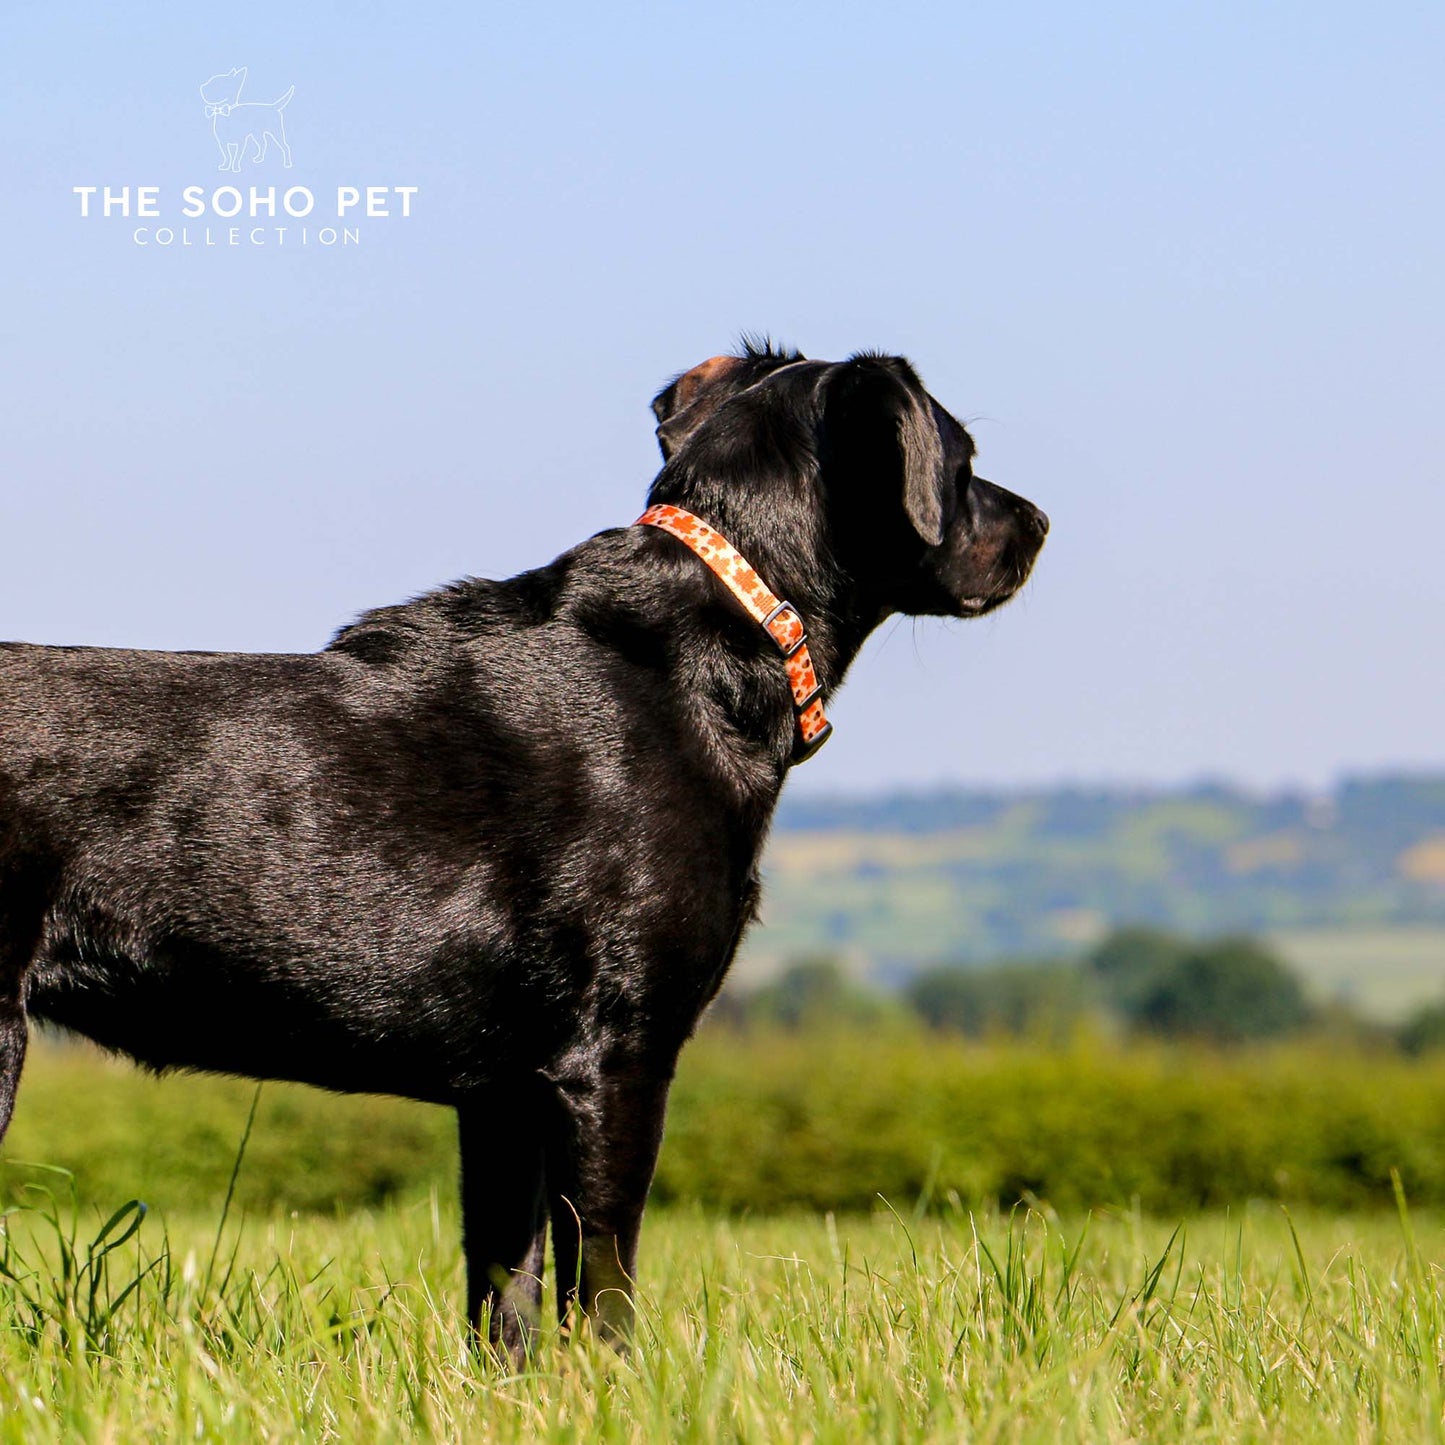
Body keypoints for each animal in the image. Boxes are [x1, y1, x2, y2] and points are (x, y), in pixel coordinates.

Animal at [0, 343, 1040, 1358]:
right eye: (962, 462)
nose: (1038, 522)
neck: (725, 633)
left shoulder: (502, 1094)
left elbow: (505, 1287)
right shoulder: (616, 1053)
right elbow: (602, 1277)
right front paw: (618, 1385)